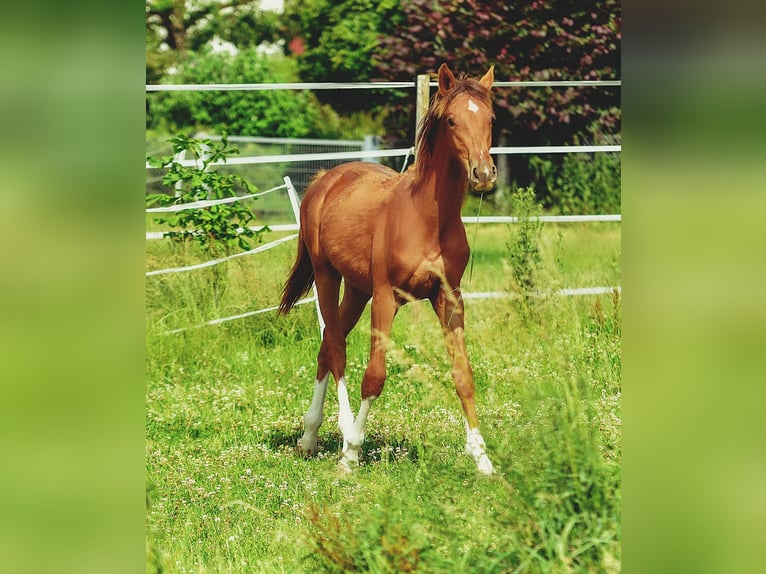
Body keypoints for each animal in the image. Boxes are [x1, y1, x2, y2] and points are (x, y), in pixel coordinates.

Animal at [278, 64, 497, 474]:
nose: (483, 173)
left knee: (325, 347)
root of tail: (324, 179)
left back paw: (309, 438)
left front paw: (482, 459)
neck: (428, 219)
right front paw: (351, 453)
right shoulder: (385, 298)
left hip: (356, 290)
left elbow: (463, 375)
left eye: (490, 118)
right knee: (335, 347)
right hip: (329, 277)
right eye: (452, 120)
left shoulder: (449, 298)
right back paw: (340, 433)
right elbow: (375, 376)